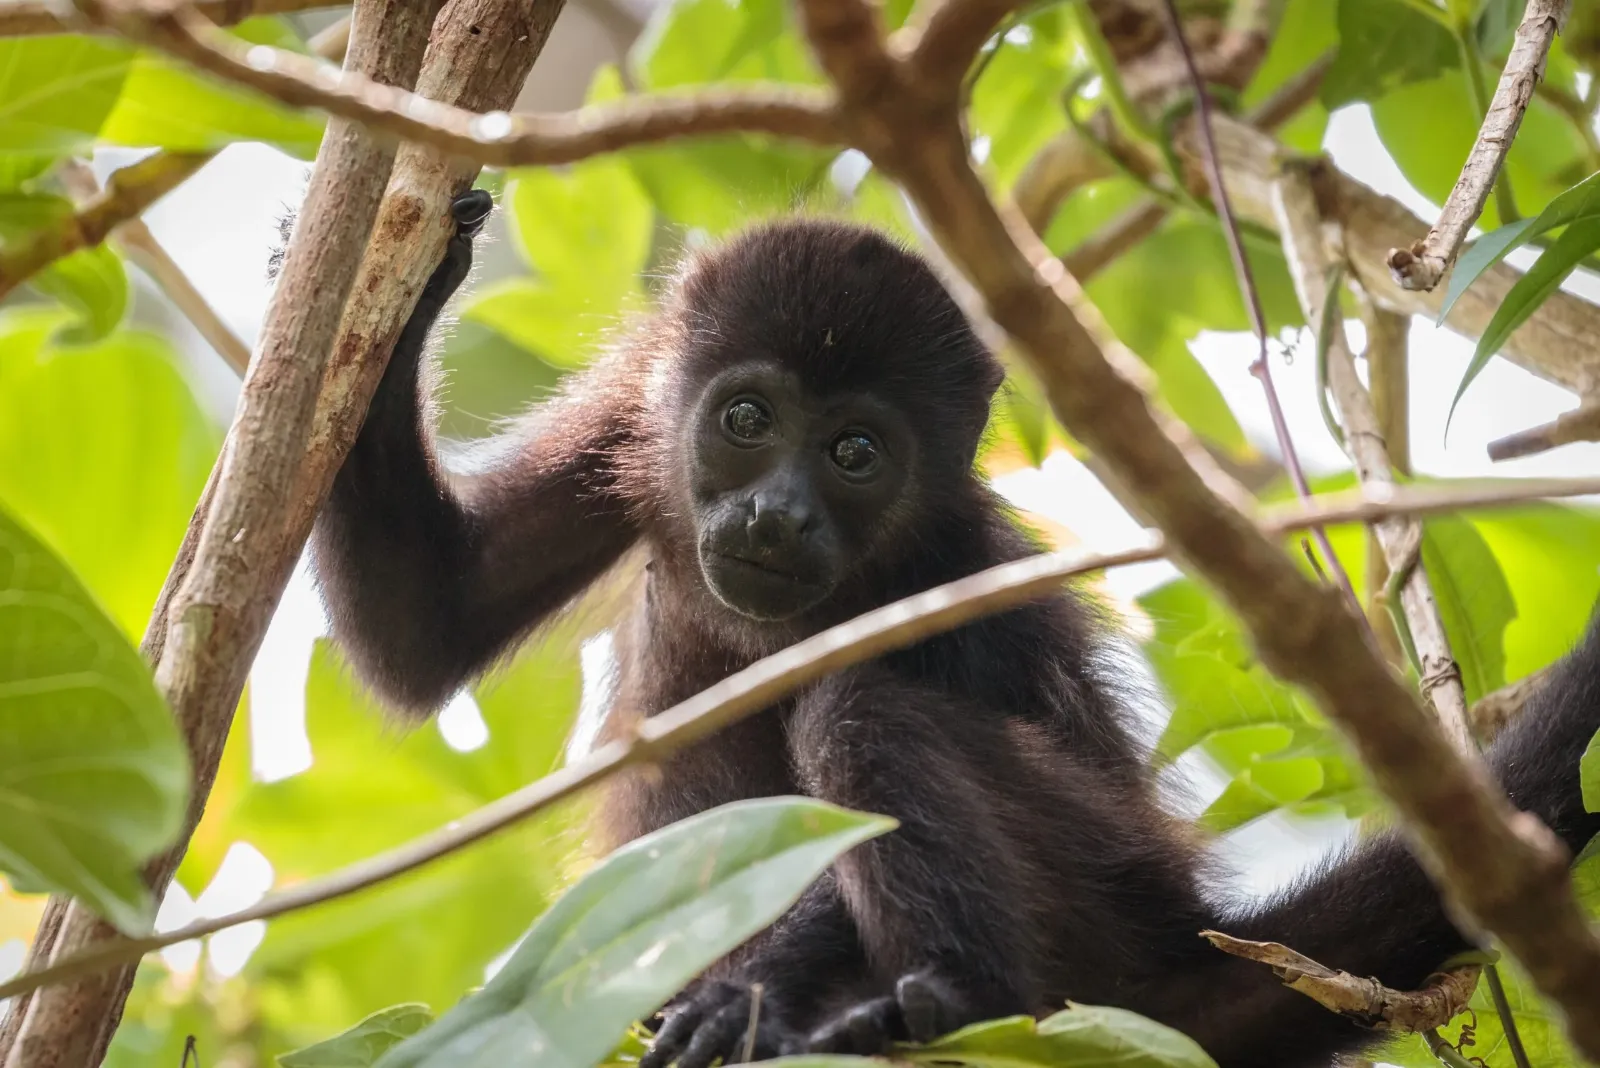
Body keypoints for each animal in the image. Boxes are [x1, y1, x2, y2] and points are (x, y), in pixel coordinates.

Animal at [311, 190, 1600, 1068]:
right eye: (744, 419)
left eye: (853, 452)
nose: (775, 513)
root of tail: (1186, 942)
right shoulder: (628, 432)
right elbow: (425, 620)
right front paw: (407, 269)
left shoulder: (968, 576)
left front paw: (750, 997)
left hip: (1105, 898)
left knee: (864, 713)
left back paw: (942, 999)